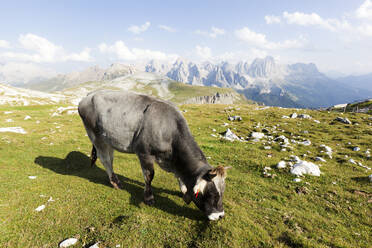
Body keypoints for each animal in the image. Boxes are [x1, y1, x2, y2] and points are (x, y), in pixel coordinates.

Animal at [78, 90, 230, 220]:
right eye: (211, 193)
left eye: (223, 191)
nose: (220, 215)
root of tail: (90, 94)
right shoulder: (144, 153)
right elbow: (149, 176)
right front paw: (149, 198)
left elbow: (178, 176)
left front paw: (183, 189)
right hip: (95, 135)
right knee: (106, 159)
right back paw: (116, 182)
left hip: (108, 138)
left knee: (109, 156)